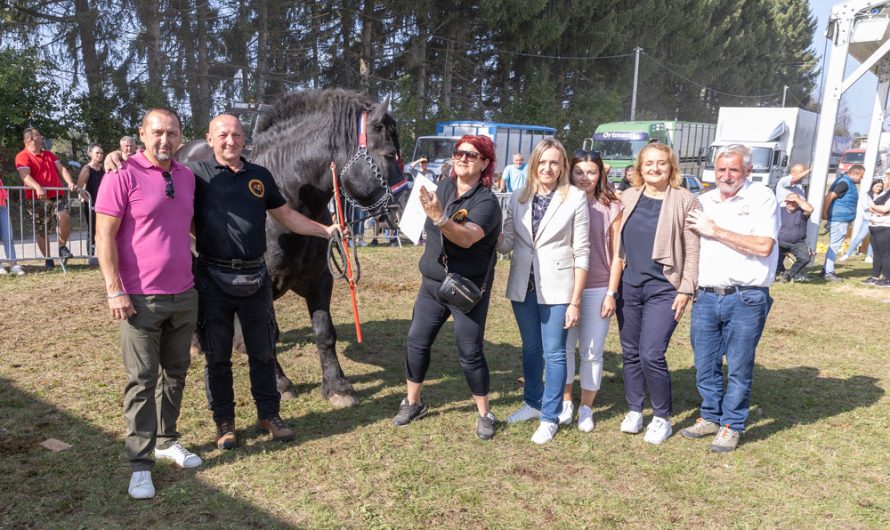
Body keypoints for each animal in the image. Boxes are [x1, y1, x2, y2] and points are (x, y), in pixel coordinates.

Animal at [176, 88, 402, 406]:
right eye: (390, 154)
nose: (406, 208)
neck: (288, 201)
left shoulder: (320, 281)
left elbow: (324, 332)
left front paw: (338, 386)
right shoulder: (263, 287)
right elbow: (266, 336)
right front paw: (280, 384)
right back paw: (197, 344)